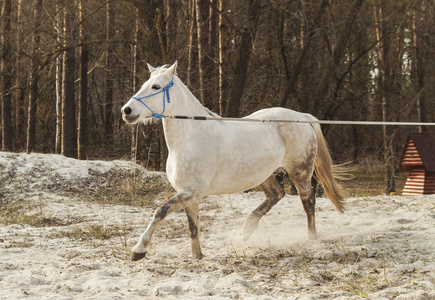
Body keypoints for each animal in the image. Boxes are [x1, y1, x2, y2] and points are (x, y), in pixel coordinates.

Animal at [121, 62, 346, 262]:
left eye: (156, 87)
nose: (126, 111)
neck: (191, 138)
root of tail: (302, 117)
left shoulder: (191, 192)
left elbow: (160, 211)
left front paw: (138, 250)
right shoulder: (190, 195)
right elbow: (193, 226)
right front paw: (197, 256)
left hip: (300, 172)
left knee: (308, 203)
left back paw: (311, 239)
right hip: (263, 175)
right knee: (277, 194)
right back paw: (246, 230)